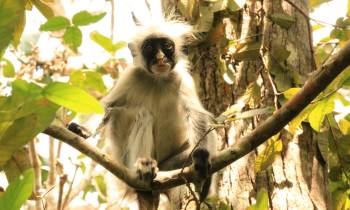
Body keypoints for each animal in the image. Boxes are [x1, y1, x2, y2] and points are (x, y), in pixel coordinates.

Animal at [101, 18, 216, 209]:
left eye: (167, 46)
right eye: (149, 48)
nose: (161, 57)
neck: (157, 80)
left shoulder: (183, 78)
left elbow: (197, 115)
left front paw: (200, 155)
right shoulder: (130, 75)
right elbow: (107, 107)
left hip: (169, 165)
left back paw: (203, 186)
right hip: (124, 158)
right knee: (142, 115)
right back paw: (144, 167)